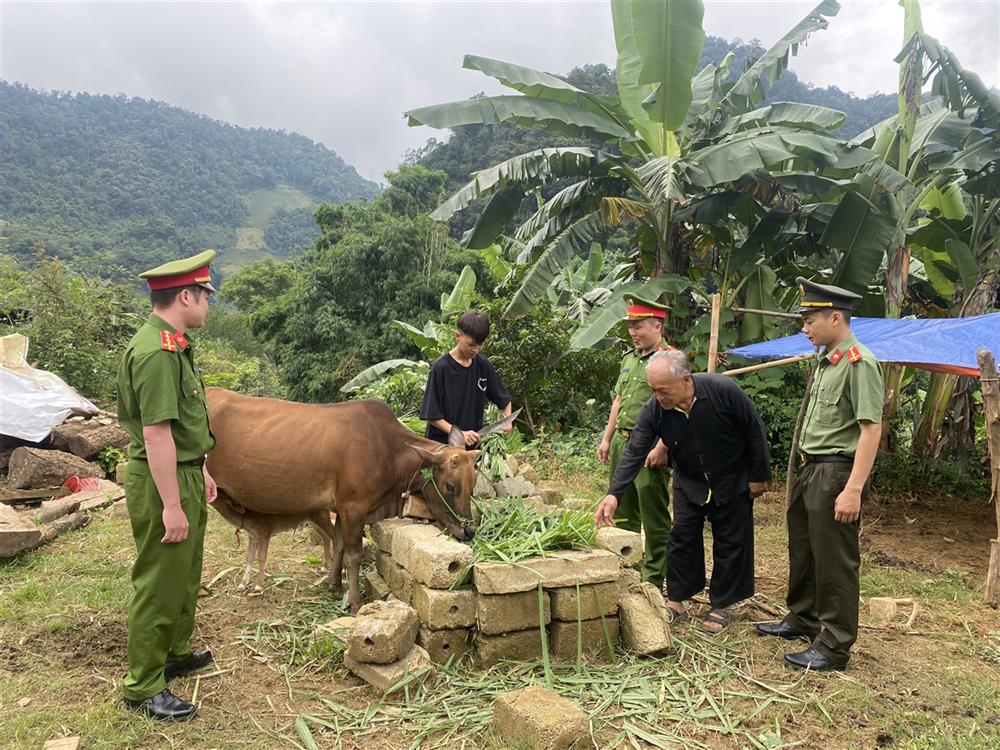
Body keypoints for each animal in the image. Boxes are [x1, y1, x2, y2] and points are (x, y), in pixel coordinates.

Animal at [205, 390, 478, 612]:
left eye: (474, 484)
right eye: (450, 486)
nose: (469, 530)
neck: (388, 449)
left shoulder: (340, 509)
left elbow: (337, 545)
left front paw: (335, 585)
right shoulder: (353, 508)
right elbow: (353, 554)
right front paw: (356, 602)